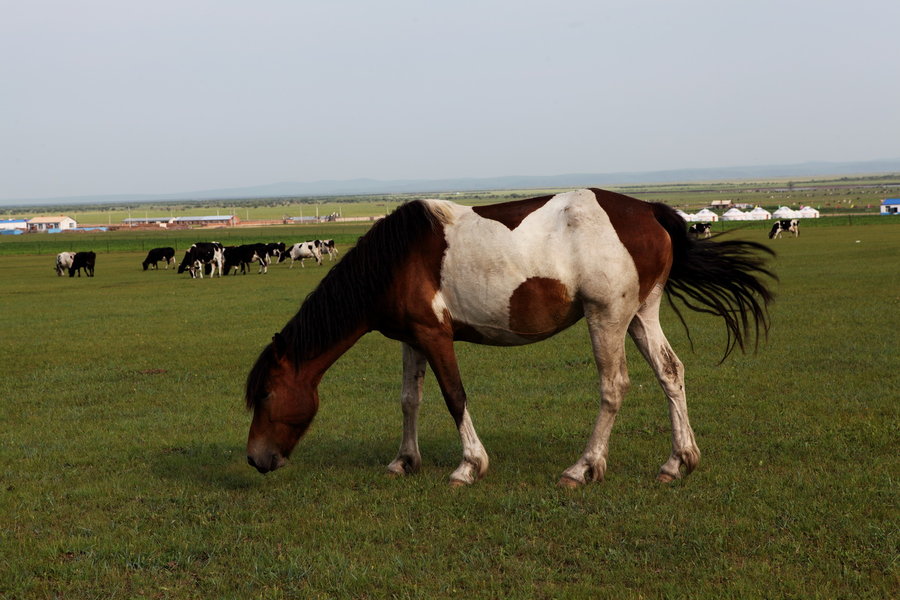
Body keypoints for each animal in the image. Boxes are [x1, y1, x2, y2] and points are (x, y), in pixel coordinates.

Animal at [244, 190, 772, 486]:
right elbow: (410, 400)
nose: (255, 458)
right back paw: (678, 461)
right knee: (670, 373)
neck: (395, 259)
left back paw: (583, 468)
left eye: (266, 395)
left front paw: (469, 467)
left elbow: (454, 396)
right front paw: (404, 460)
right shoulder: (412, 339)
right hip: (641, 315)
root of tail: (649, 211)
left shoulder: (436, 336)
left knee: (613, 387)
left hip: (607, 318)